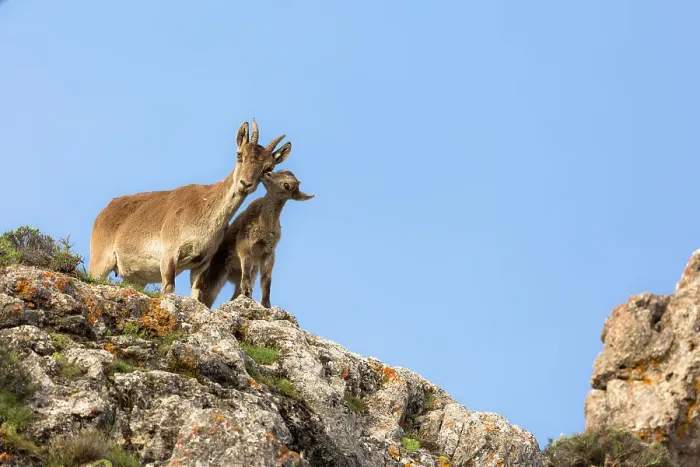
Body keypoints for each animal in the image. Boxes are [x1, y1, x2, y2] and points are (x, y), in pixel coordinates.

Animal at [88, 120, 292, 299]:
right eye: (239, 154)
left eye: (268, 169)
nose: (245, 184)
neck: (205, 211)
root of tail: (104, 212)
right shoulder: (169, 253)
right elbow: (169, 288)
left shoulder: (201, 263)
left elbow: (196, 294)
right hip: (101, 260)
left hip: (135, 278)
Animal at [197, 170, 314, 308]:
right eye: (281, 171)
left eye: (287, 185)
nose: (267, 174)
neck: (265, 223)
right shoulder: (245, 239)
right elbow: (247, 262)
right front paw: (247, 290)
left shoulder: (269, 251)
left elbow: (266, 279)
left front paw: (266, 304)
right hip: (218, 270)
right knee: (207, 294)